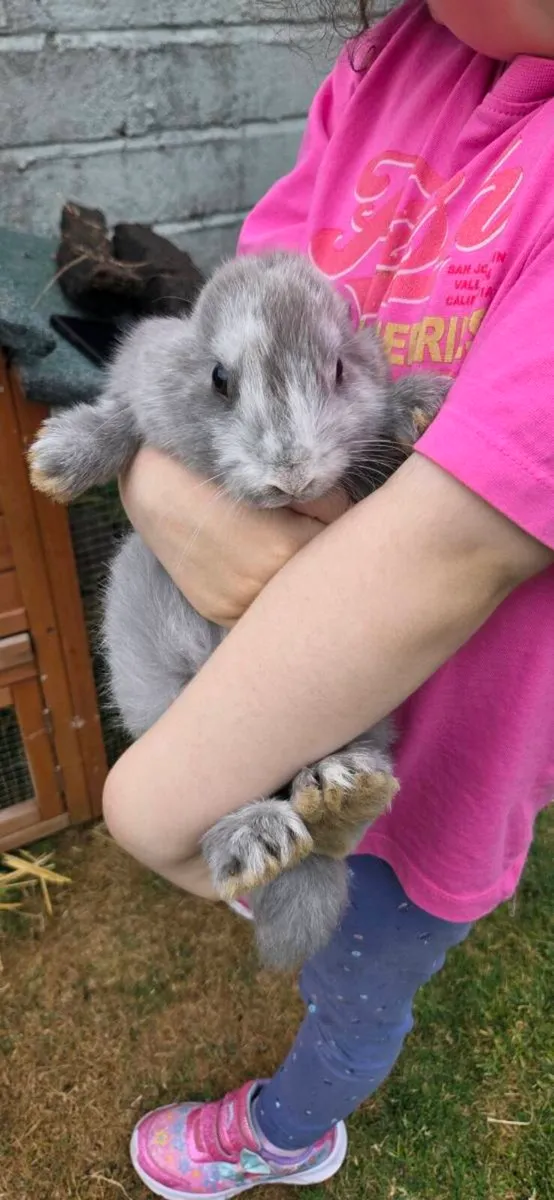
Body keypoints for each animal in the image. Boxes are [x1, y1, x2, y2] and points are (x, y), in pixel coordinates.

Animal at [29, 251, 450, 969]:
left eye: (340, 369)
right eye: (219, 379)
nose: (292, 473)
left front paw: (421, 403)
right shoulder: (143, 376)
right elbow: (120, 415)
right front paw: (54, 462)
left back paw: (341, 791)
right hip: (169, 704)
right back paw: (260, 841)